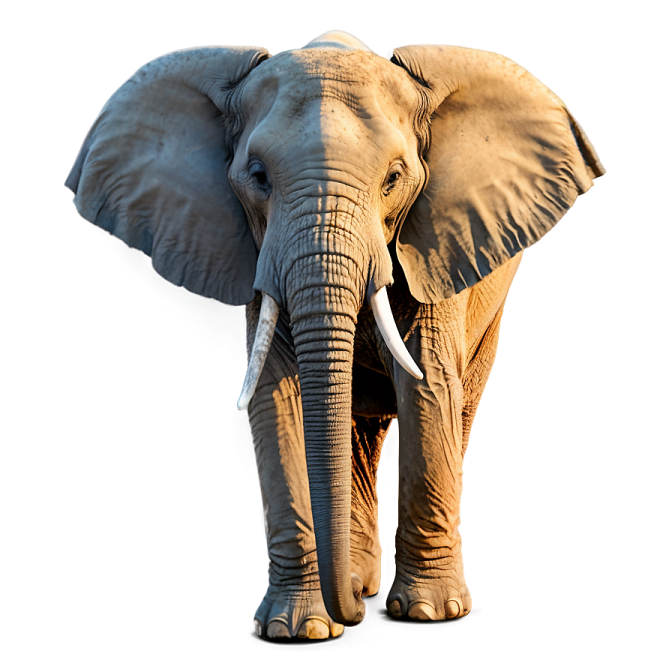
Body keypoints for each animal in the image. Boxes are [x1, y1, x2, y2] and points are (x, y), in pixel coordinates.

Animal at [64, 30, 607, 639]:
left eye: (394, 178)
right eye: (258, 176)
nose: (354, 616)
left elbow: (428, 383)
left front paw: (425, 613)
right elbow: (276, 395)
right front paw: (297, 629)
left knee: (458, 400)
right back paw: (355, 583)